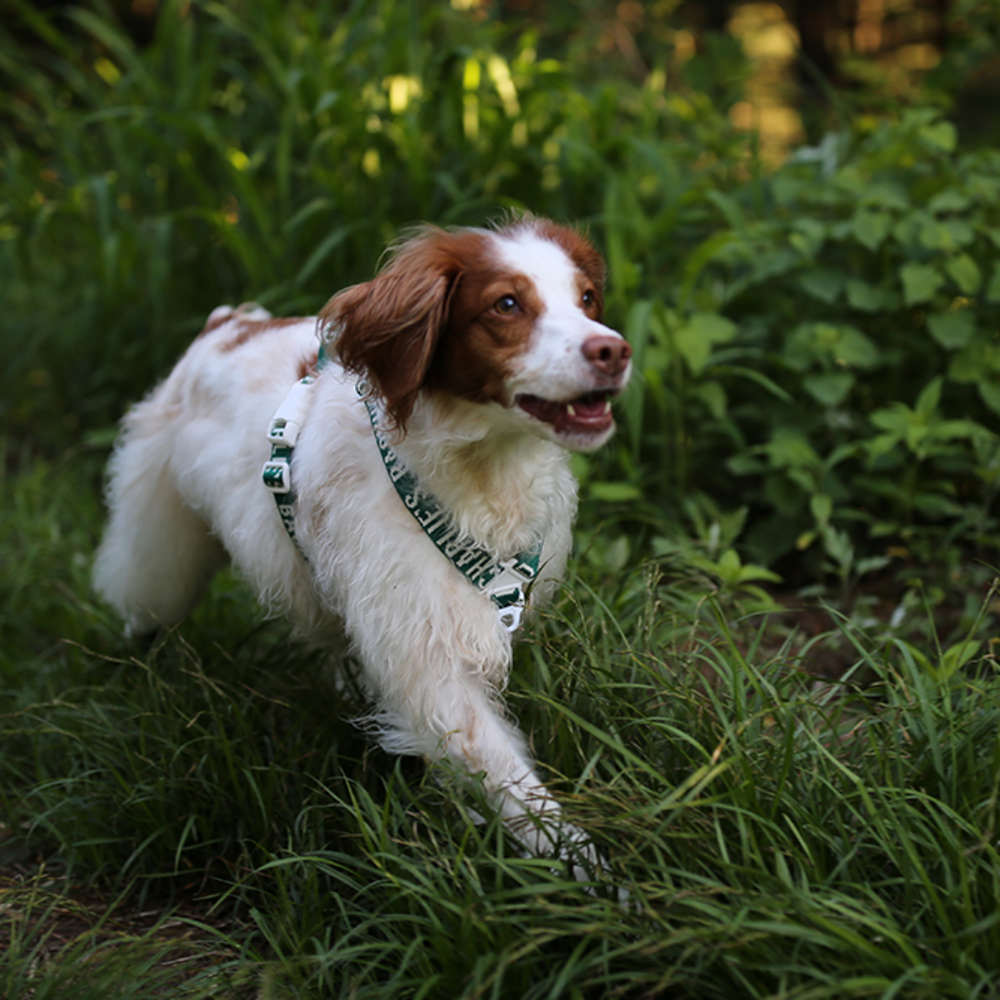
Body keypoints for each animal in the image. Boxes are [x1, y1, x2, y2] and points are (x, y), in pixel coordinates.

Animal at [97, 217, 636, 876]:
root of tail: (226, 323)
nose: (612, 350)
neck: (475, 473)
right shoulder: (429, 663)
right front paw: (595, 878)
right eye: (507, 304)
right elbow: (515, 788)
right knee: (140, 596)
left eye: (587, 298)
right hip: (160, 545)